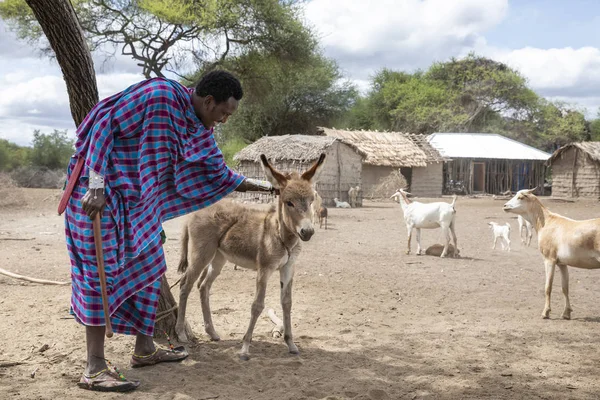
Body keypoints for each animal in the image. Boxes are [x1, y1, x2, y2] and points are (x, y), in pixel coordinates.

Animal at [504, 189, 596, 320]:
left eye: (520, 197)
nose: (505, 206)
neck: (547, 222)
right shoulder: (562, 263)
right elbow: (565, 288)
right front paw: (566, 313)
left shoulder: (549, 259)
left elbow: (548, 287)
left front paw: (545, 312)